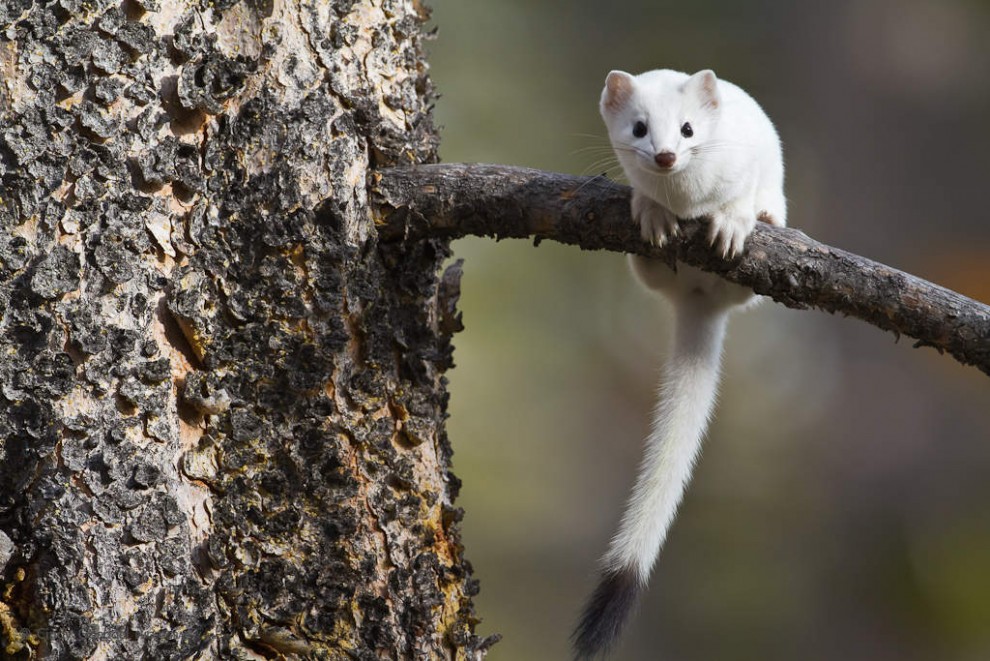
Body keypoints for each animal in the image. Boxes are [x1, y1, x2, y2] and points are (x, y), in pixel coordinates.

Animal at [572, 69, 792, 656]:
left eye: (689, 128)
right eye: (639, 127)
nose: (667, 155)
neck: (688, 197)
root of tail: (699, 298)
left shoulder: (747, 164)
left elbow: (741, 196)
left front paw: (734, 223)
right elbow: (646, 202)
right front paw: (652, 216)